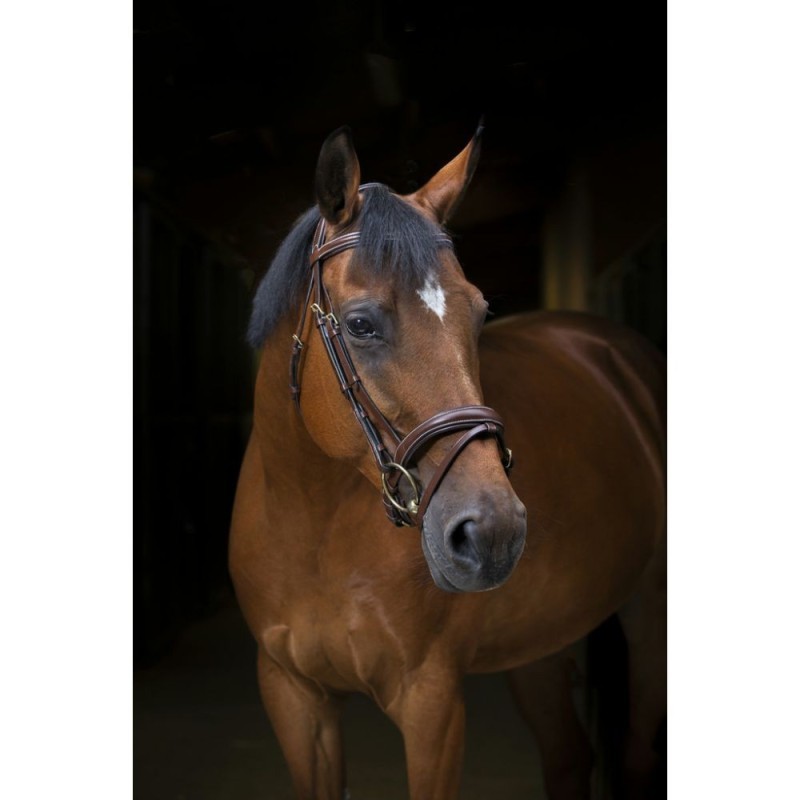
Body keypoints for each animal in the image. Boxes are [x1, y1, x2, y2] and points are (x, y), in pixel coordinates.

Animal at [229, 123, 666, 800]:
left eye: (480, 312)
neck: (313, 527)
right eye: (360, 324)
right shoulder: (294, 697)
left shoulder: (430, 701)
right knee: (569, 756)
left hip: (649, 616)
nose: (493, 531)